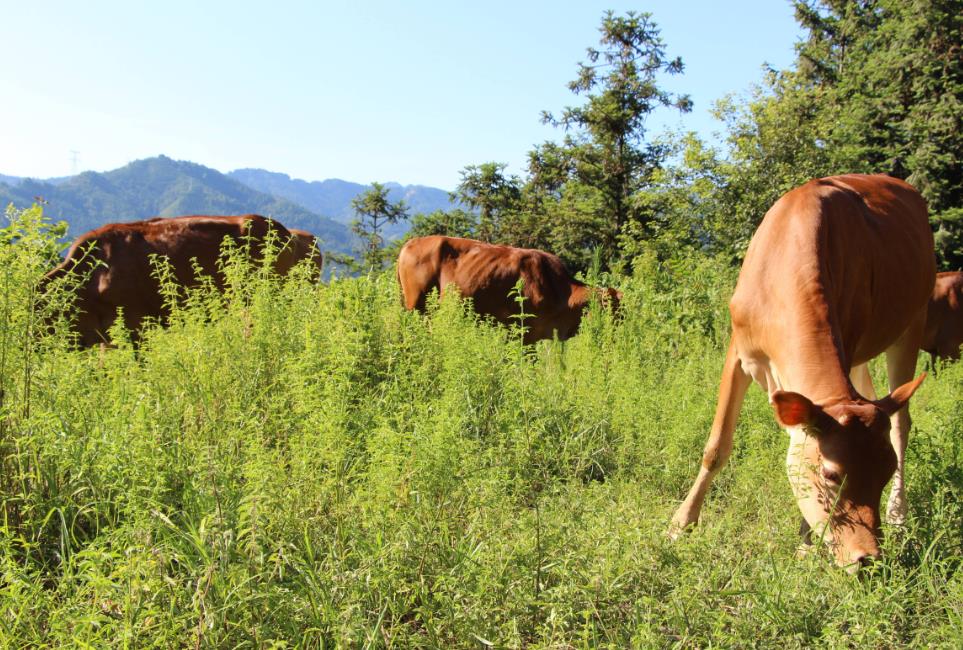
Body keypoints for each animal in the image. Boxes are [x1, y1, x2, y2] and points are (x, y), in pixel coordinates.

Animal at [672, 175, 932, 568]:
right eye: (831, 474)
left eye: (886, 471)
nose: (868, 558)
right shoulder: (738, 348)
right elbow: (716, 445)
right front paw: (681, 524)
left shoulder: (847, 341)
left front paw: (807, 543)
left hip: (913, 322)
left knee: (901, 422)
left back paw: (899, 515)